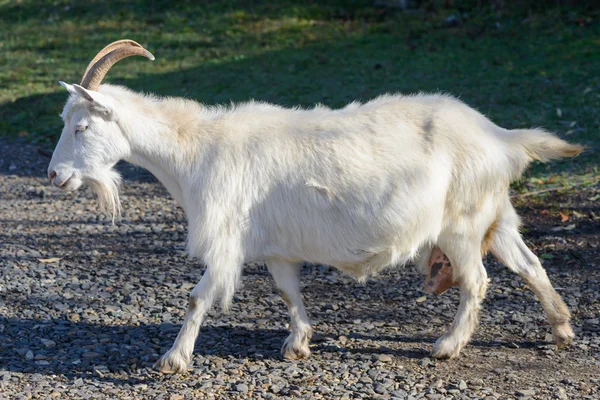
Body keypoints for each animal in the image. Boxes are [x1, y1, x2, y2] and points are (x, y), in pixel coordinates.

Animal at [49, 39, 584, 374]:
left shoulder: (225, 239)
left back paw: (447, 347)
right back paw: (561, 328)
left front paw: (173, 360)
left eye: (82, 126)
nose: (55, 176)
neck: (194, 150)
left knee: (477, 281)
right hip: (495, 215)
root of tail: (500, 137)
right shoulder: (276, 248)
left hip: (461, 224)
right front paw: (298, 344)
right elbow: (289, 293)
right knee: (529, 264)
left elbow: (198, 297)